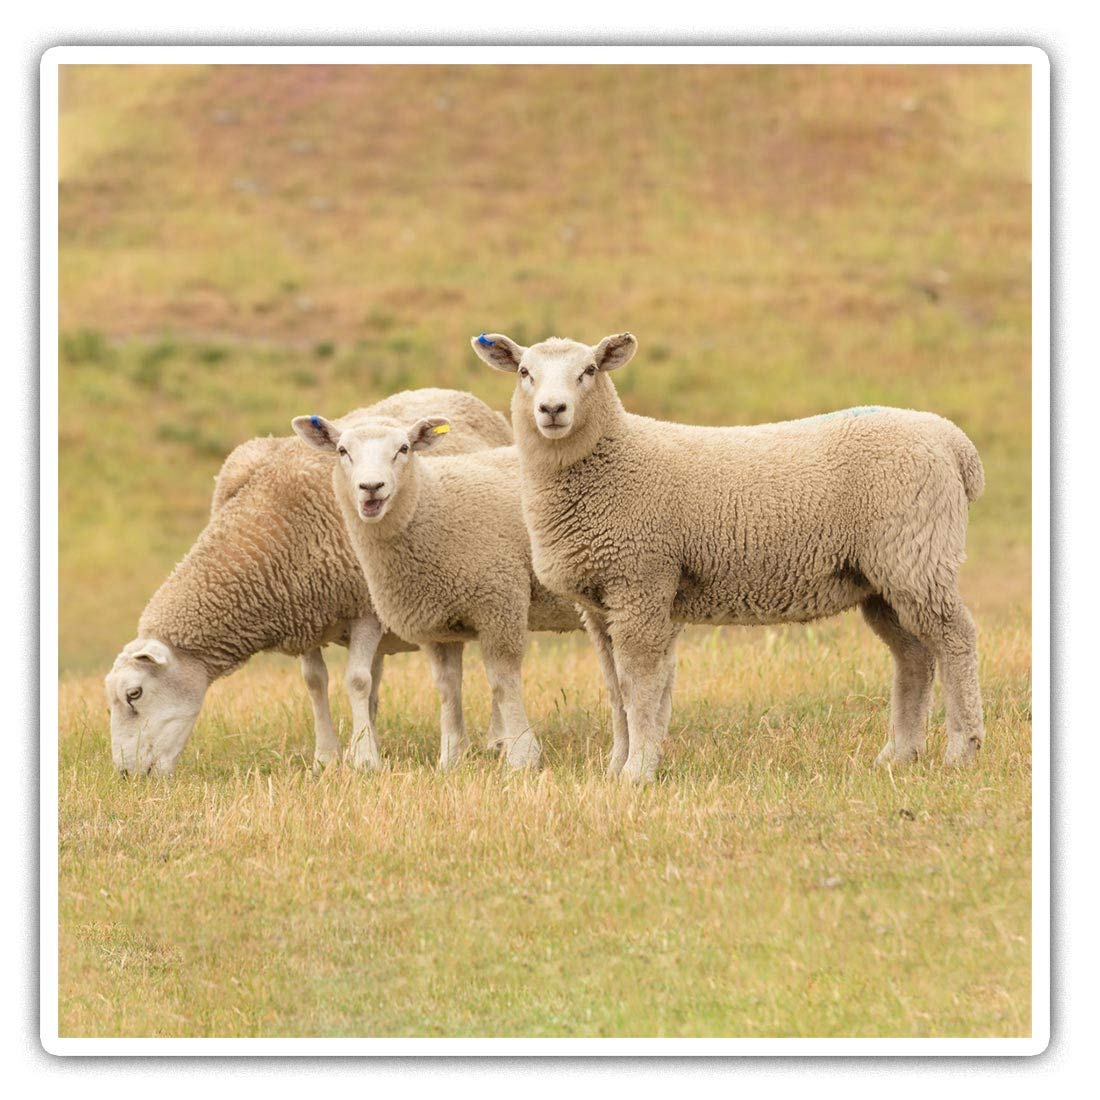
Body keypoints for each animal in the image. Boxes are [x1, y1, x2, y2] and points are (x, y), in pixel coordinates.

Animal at [105, 388, 512, 776]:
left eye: (134, 693)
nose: (126, 773)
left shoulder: (365, 609)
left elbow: (356, 681)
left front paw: (365, 761)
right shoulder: (303, 610)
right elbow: (316, 681)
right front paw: (328, 758)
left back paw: (497, 740)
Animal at [291, 413, 582, 771]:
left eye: (403, 449)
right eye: (342, 451)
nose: (371, 487)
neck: (435, 503)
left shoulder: (501, 602)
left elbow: (503, 682)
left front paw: (522, 756)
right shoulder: (437, 622)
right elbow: (447, 686)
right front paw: (451, 758)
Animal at [471, 332, 986, 783]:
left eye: (590, 371)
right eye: (524, 372)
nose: (552, 410)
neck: (612, 460)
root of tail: (954, 442)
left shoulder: (641, 581)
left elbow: (640, 685)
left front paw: (638, 772)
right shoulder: (600, 602)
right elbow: (616, 689)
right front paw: (615, 767)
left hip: (916, 555)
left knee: (955, 639)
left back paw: (962, 749)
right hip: (881, 577)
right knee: (914, 655)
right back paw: (898, 755)